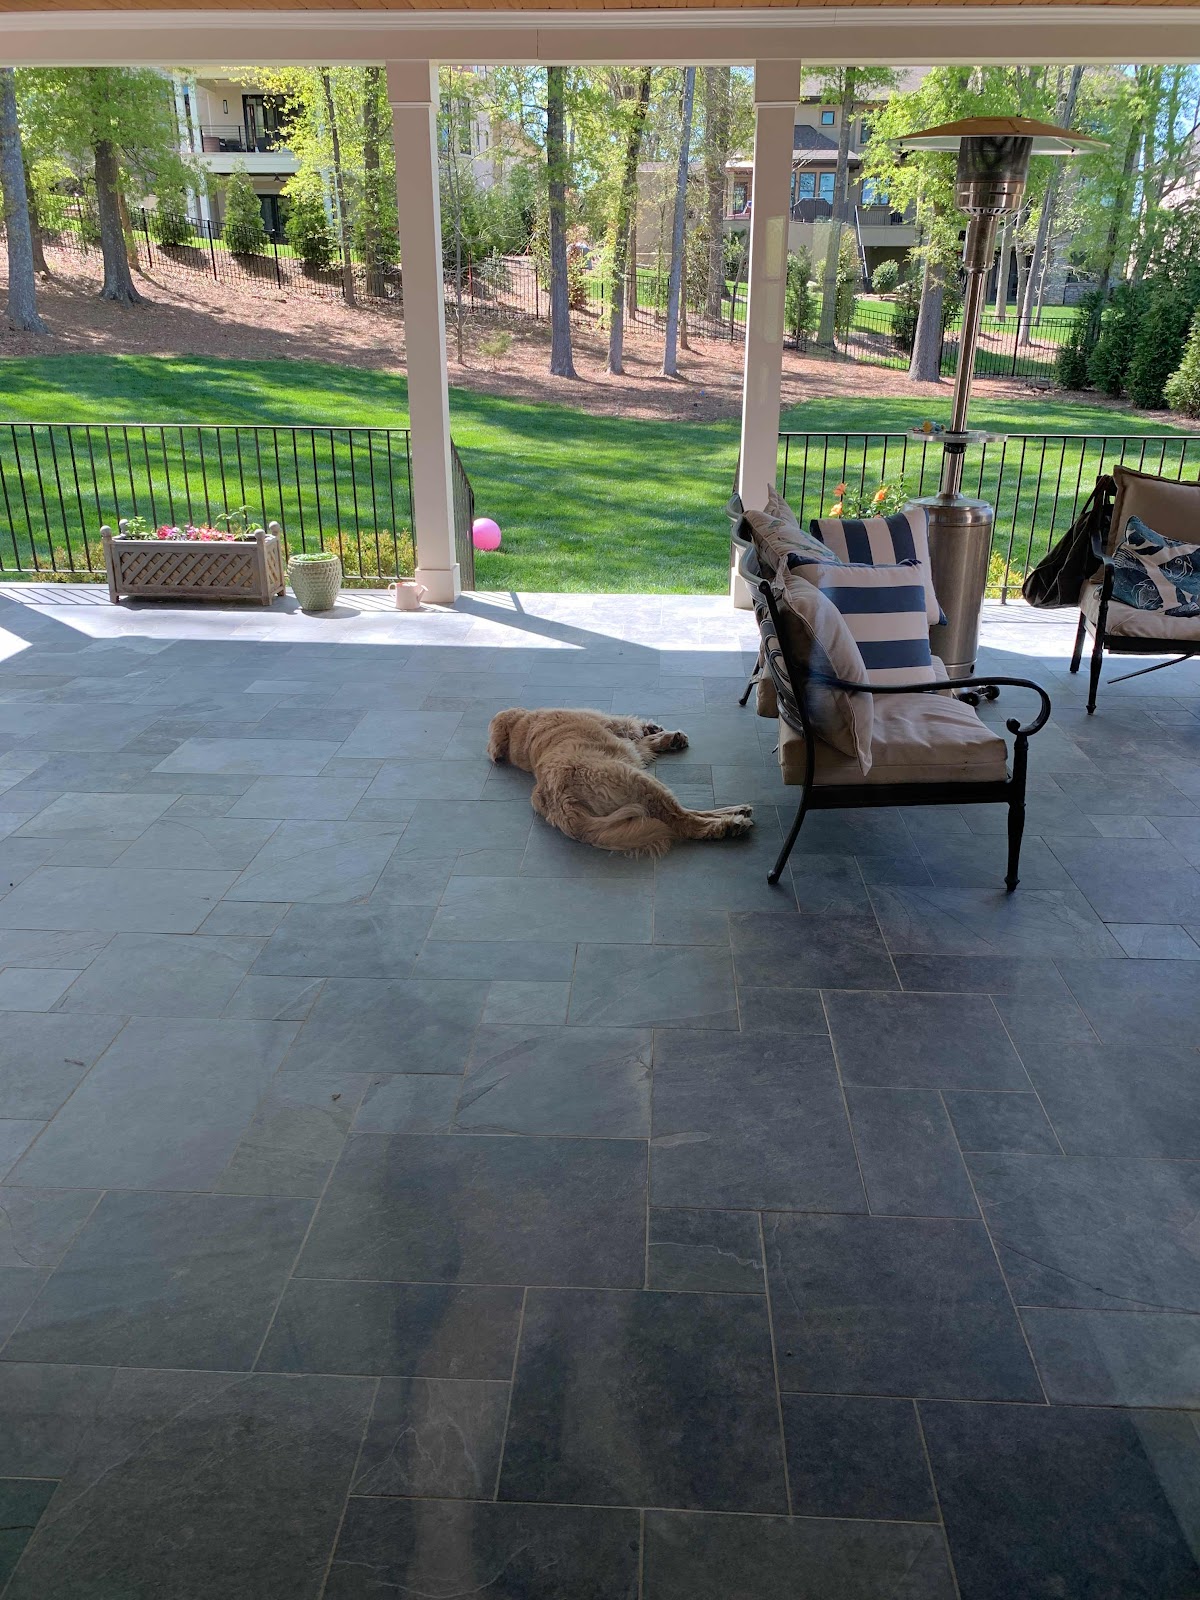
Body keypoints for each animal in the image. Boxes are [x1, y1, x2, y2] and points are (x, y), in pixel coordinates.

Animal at [487, 707, 754, 859]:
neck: (522, 734)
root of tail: (564, 804)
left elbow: (642, 743)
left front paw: (661, 735)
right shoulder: (612, 727)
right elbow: (632, 731)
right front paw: (663, 735)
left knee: (685, 814)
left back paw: (736, 812)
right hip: (641, 782)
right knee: (684, 821)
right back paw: (730, 823)